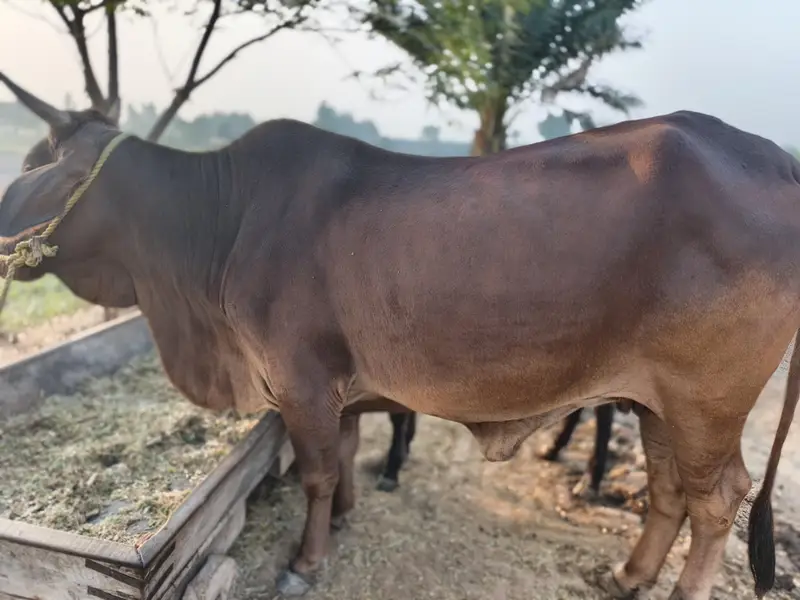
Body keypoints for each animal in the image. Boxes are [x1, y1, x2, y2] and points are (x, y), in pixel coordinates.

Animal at [0, 72, 797, 600]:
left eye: (42, 162)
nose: (3, 225)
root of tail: (776, 158)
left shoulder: (300, 383)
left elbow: (317, 473)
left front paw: (306, 560)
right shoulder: (336, 386)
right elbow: (349, 451)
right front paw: (350, 515)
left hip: (706, 403)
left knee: (717, 502)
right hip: (659, 403)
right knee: (668, 491)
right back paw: (630, 574)